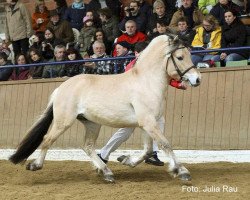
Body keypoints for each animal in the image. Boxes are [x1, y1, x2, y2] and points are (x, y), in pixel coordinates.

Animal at [9, 34, 201, 183]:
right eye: (180, 57)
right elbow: (165, 144)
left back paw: (106, 172)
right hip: (64, 121)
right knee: (48, 139)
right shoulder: (148, 122)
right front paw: (182, 171)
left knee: (87, 146)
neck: (146, 81)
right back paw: (35, 165)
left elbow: (148, 151)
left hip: (92, 124)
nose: (197, 79)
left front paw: (127, 160)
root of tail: (61, 89)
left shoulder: (148, 123)